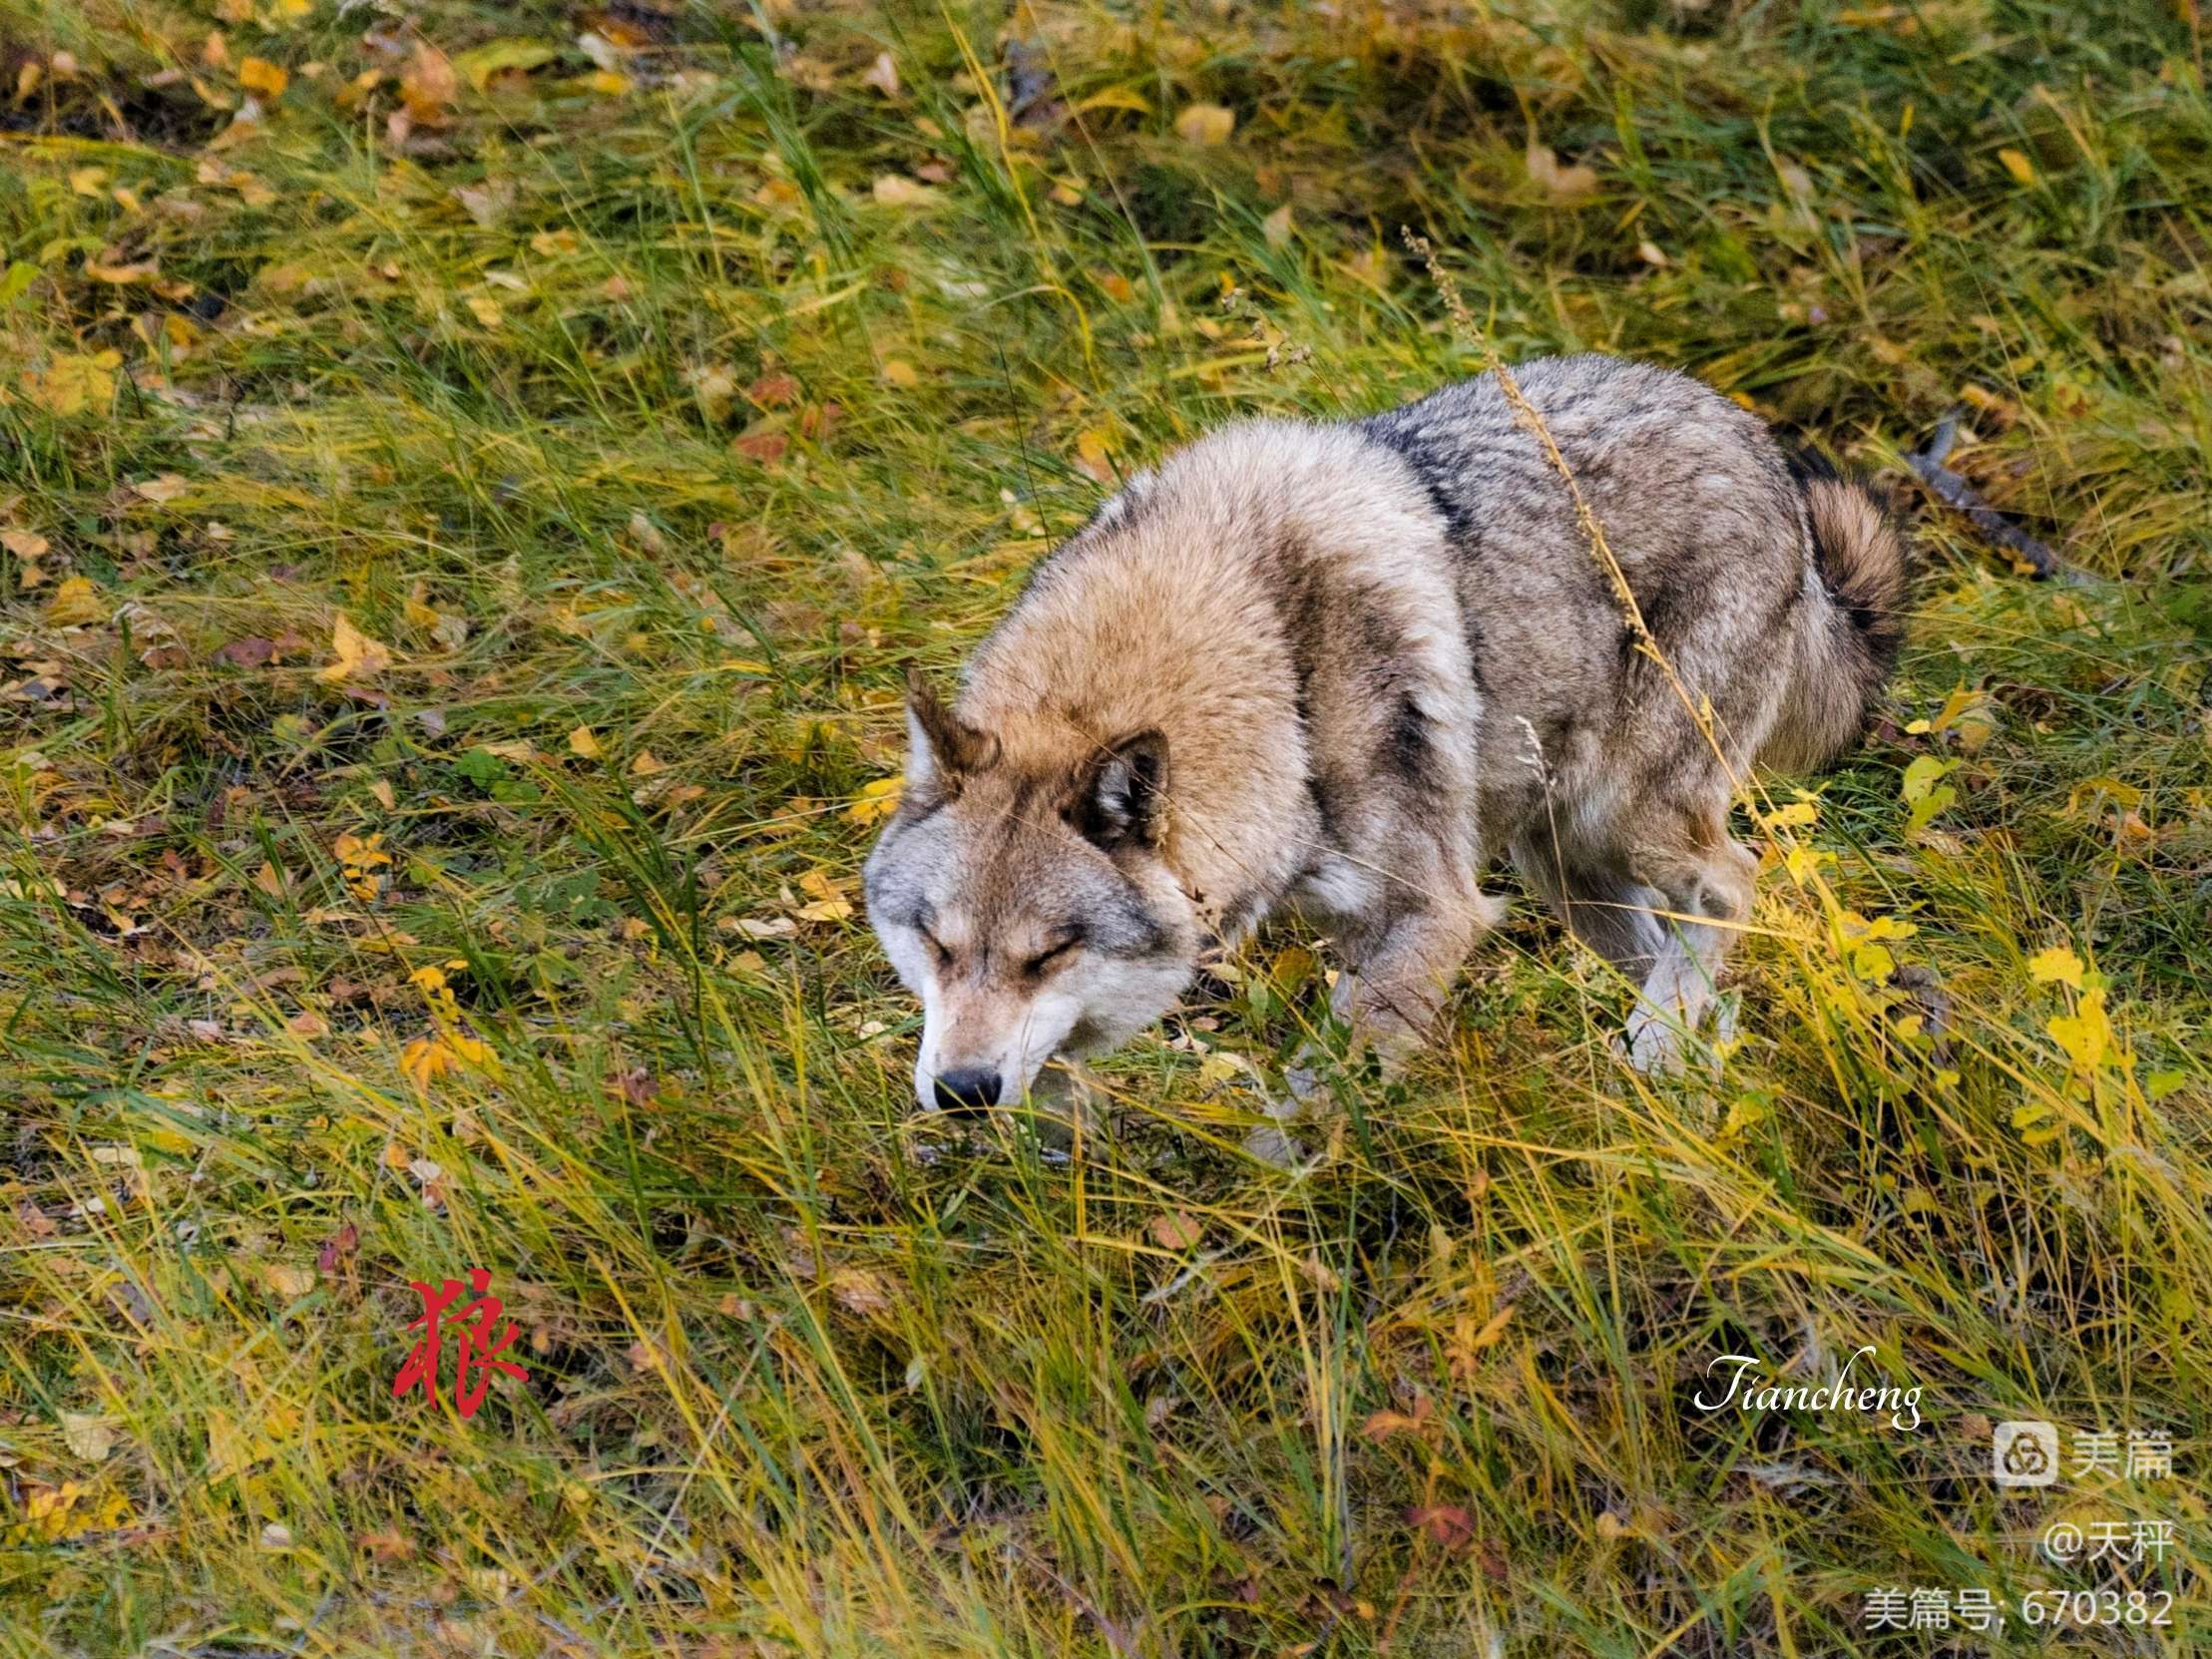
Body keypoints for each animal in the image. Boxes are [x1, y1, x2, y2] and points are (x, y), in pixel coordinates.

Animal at [858, 358, 1902, 1123]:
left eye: (1049, 954)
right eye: (936, 944)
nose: (962, 1094)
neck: (1275, 666)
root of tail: (1750, 436)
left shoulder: (1433, 913)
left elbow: (1323, 1102)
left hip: (1626, 818)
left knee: (1736, 881)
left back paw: (1661, 1046)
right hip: (1561, 863)